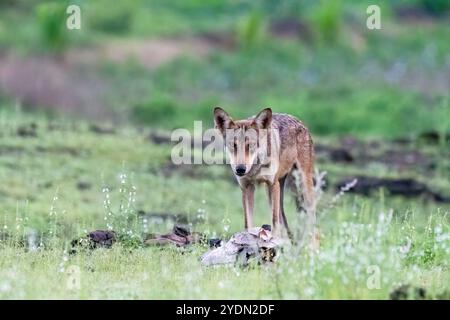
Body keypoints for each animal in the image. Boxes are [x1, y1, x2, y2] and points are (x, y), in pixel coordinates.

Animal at [214, 107, 316, 245]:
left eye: (250, 145)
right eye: (233, 145)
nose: (240, 169)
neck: (255, 168)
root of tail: (300, 121)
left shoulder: (272, 184)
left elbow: (274, 221)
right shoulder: (247, 187)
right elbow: (248, 223)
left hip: (300, 187)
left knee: (313, 222)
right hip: (277, 190)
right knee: (282, 219)